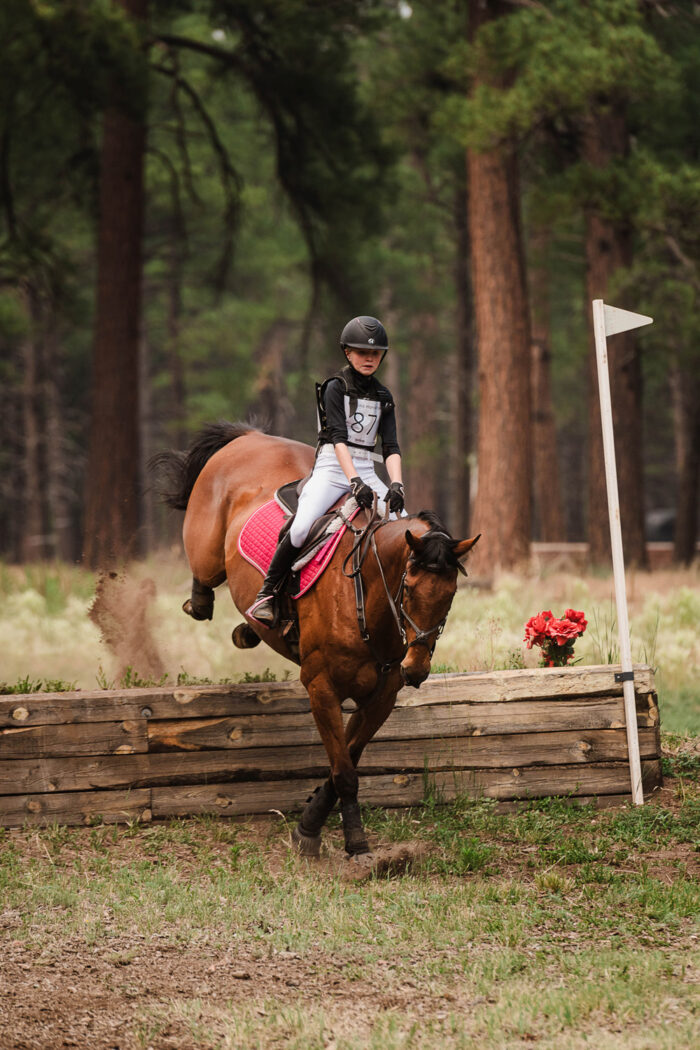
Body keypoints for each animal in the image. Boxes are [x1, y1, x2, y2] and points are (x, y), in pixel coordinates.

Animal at [154, 421, 479, 859]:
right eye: (408, 588)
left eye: (451, 596)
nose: (415, 669)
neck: (367, 600)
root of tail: (250, 437)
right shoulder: (321, 688)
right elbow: (343, 771)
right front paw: (341, 837)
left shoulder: (381, 696)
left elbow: (348, 759)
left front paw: (311, 818)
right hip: (207, 549)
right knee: (207, 575)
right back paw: (219, 606)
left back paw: (249, 629)